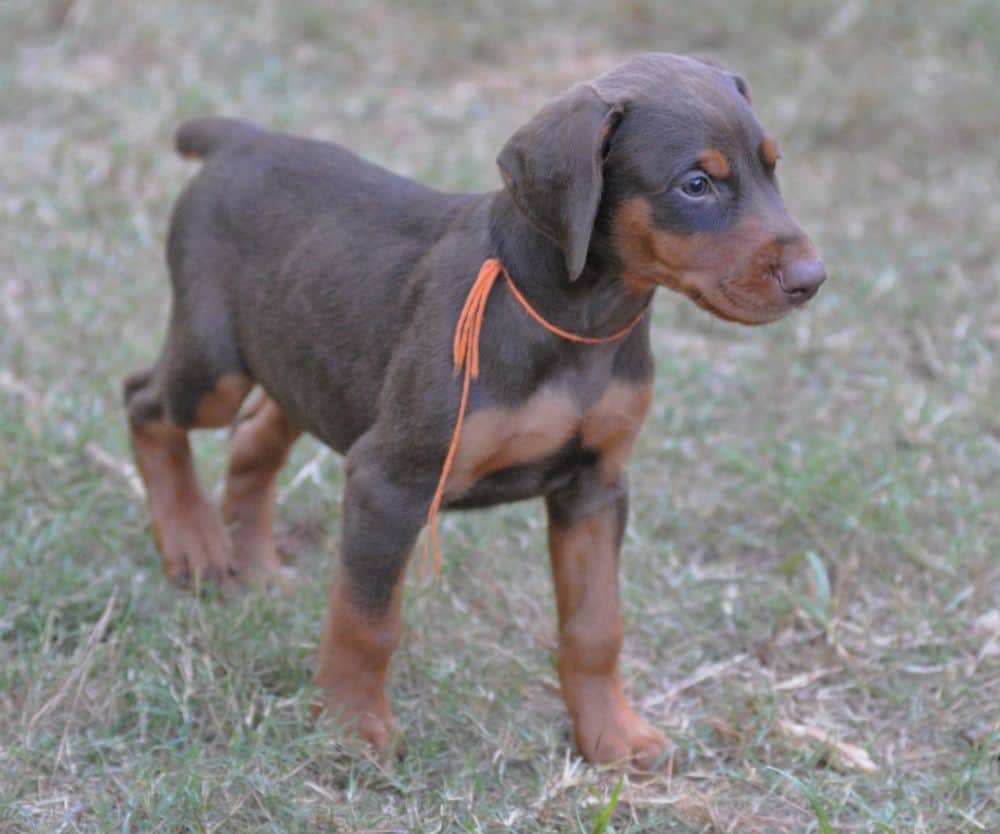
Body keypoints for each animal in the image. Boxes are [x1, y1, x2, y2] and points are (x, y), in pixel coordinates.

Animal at [125, 52, 824, 768]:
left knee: (251, 438)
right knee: (145, 404)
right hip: (217, 364)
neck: (577, 319)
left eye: (772, 167)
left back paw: (255, 567)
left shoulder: (596, 486)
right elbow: (366, 618)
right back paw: (194, 544)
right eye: (695, 185)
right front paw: (352, 727)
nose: (812, 279)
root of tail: (242, 138)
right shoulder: (391, 481)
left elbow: (596, 625)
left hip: (302, 356)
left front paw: (612, 734)